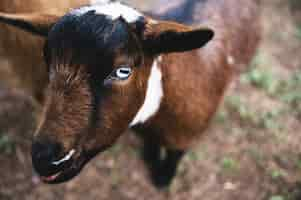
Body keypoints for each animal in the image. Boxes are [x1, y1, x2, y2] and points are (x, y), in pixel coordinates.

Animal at [0, 0, 260, 188]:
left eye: (123, 71)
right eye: (48, 62)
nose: (44, 159)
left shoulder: (186, 134)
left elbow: (175, 155)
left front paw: (163, 179)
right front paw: (150, 158)